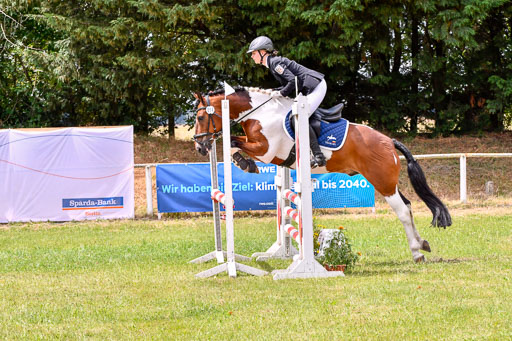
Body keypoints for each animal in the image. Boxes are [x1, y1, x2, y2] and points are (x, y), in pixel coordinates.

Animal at [193, 86, 452, 262]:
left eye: (200, 117)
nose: (199, 147)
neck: (262, 114)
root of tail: (389, 141)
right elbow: (235, 142)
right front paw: (244, 163)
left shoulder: (267, 151)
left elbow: (233, 142)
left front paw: (245, 163)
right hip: (388, 182)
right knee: (408, 205)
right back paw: (422, 244)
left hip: (382, 182)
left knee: (403, 212)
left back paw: (416, 253)